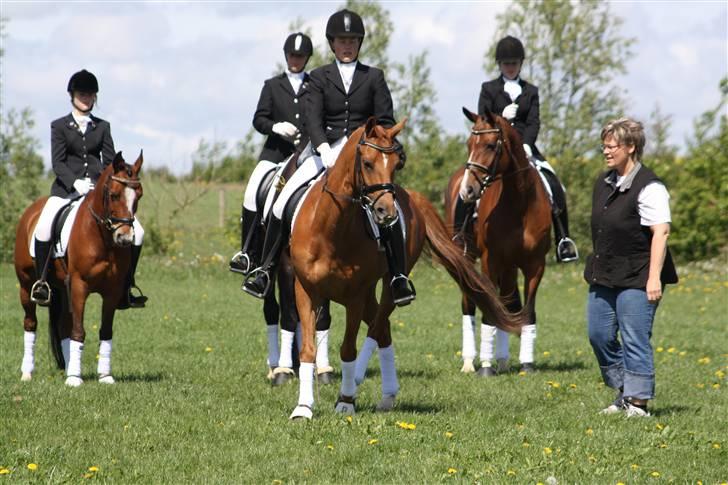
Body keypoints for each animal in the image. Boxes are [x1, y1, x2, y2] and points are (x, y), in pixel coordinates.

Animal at [14, 151, 144, 386]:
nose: (124, 238)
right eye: (114, 195)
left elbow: (105, 331)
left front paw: (104, 376)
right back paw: (27, 372)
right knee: (30, 323)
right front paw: (75, 379)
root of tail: (31, 211)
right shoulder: (80, 286)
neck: (103, 239)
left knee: (63, 325)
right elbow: (79, 331)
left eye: (138, 195)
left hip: (63, 289)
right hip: (26, 285)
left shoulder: (111, 291)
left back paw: (67, 367)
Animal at [284, 118, 524, 420]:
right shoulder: (305, 290)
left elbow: (348, 348)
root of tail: (413, 199)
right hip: (366, 295)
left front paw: (345, 401)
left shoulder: (354, 297)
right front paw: (303, 408)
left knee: (378, 329)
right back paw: (386, 395)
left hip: (388, 286)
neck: (330, 229)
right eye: (367, 163)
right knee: (382, 329)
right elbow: (307, 349)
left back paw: (372, 389)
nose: (386, 212)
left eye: (397, 164)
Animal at [444, 108, 552, 374]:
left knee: (507, 301)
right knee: (470, 302)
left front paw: (527, 365)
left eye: (491, 145)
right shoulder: (490, 261)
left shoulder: (535, 265)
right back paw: (470, 362)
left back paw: (502, 360)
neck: (520, 203)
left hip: (510, 266)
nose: (467, 191)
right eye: (468, 144)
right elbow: (489, 308)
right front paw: (485, 367)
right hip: (468, 257)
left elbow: (527, 311)